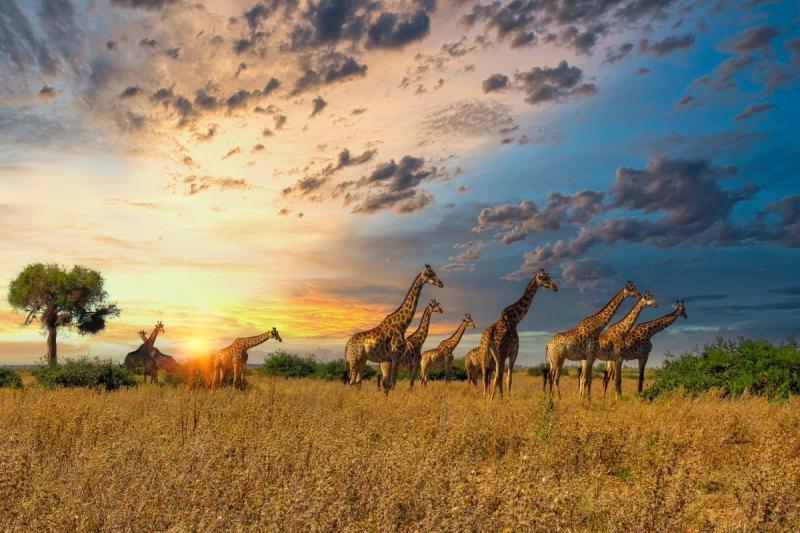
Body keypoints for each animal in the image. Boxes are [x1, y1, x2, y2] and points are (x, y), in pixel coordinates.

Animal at [344, 265, 443, 393]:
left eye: (434, 273)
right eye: (429, 274)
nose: (441, 283)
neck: (402, 325)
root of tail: (347, 345)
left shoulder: (391, 359)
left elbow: (389, 385)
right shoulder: (397, 356)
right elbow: (393, 384)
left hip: (362, 360)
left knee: (357, 382)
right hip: (354, 360)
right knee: (351, 382)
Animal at [477, 268, 558, 400]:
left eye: (549, 276)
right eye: (544, 278)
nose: (555, 287)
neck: (515, 319)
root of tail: (488, 336)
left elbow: (502, 378)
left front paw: (503, 399)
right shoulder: (514, 352)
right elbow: (509, 379)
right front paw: (507, 400)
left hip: (485, 354)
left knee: (486, 377)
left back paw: (485, 400)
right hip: (500, 354)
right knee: (496, 377)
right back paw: (490, 401)